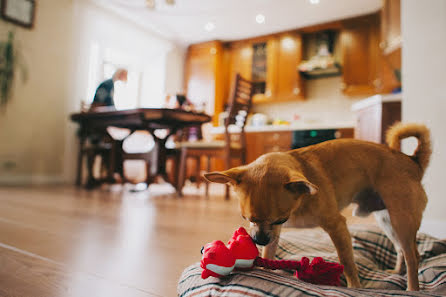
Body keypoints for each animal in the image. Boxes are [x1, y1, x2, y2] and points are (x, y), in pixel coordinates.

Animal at [204, 122, 430, 290]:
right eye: (246, 219)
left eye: (281, 219)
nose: (259, 239)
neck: (300, 202)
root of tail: (412, 161)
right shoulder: (274, 235)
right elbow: (269, 253)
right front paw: (266, 270)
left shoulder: (337, 225)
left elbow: (347, 261)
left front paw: (355, 288)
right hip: (387, 220)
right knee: (402, 250)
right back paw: (397, 272)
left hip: (401, 219)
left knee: (413, 256)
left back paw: (412, 288)